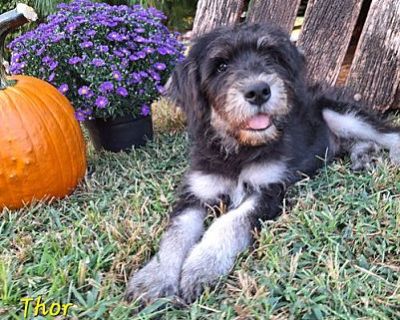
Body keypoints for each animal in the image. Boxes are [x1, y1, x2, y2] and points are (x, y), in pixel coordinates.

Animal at [126, 23, 400, 304]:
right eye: (221, 66)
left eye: (271, 57)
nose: (258, 91)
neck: (239, 149)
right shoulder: (197, 193)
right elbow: (176, 232)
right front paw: (155, 277)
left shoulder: (268, 190)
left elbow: (229, 222)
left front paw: (201, 266)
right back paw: (363, 157)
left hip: (340, 113)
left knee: (388, 133)